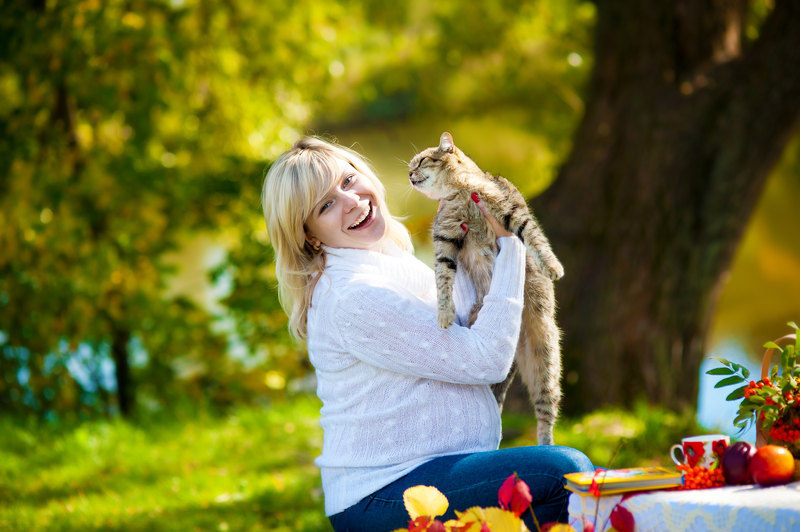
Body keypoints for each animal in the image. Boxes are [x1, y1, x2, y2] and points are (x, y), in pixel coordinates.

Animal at [408, 131, 563, 445]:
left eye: (420, 160)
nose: (408, 173)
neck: (460, 193)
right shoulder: (445, 241)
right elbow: (442, 278)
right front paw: (444, 314)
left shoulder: (512, 212)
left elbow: (536, 239)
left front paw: (552, 267)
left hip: (545, 361)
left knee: (545, 412)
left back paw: (546, 443)